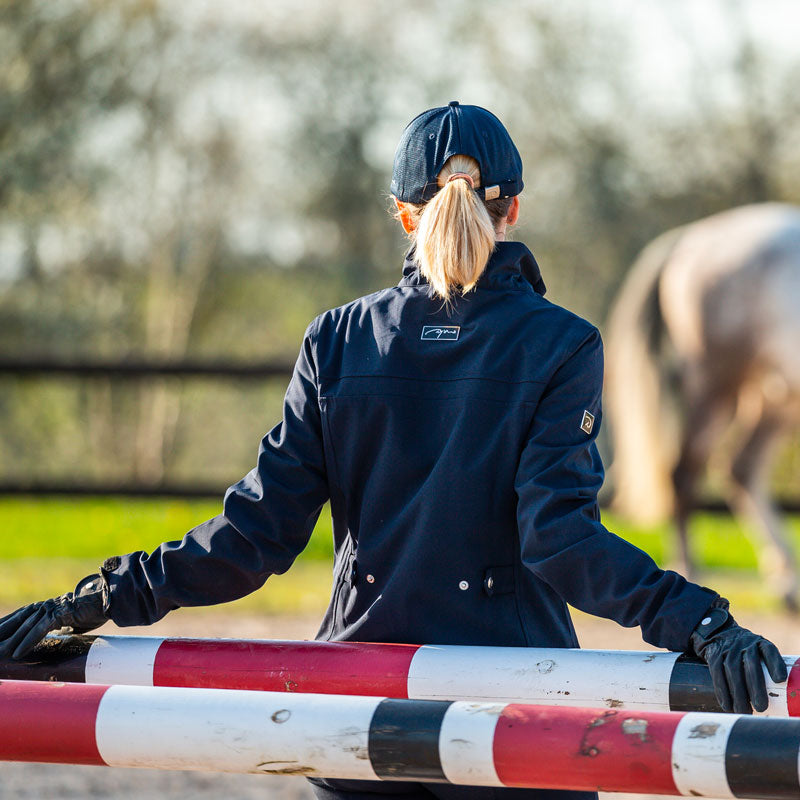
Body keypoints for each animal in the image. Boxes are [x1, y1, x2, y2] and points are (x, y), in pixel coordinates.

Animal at [608, 203, 800, 608]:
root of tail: (690, 240)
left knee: (742, 468)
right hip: (716, 384)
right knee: (684, 474)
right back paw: (690, 570)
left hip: (776, 398)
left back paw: (787, 580)